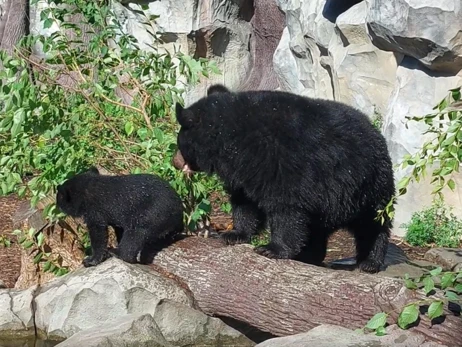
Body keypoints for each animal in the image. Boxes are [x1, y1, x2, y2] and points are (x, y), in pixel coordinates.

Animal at [58, 169, 186, 270]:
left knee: (136, 233)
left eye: (59, 198)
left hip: (153, 212)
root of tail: (180, 211)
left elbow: (98, 232)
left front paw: (90, 260)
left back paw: (117, 252)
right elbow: (118, 228)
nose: (57, 205)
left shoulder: (95, 210)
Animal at [172, 85, 394, 274]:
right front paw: (232, 234)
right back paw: (309, 255)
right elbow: (245, 203)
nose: (175, 161)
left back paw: (369, 261)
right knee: (319, 228)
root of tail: (376, 132)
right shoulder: (246, 173)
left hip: (366, 184)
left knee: (372, 224)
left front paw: (271, 249)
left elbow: (286, 207)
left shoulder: (282, 162)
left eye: (179, 142)